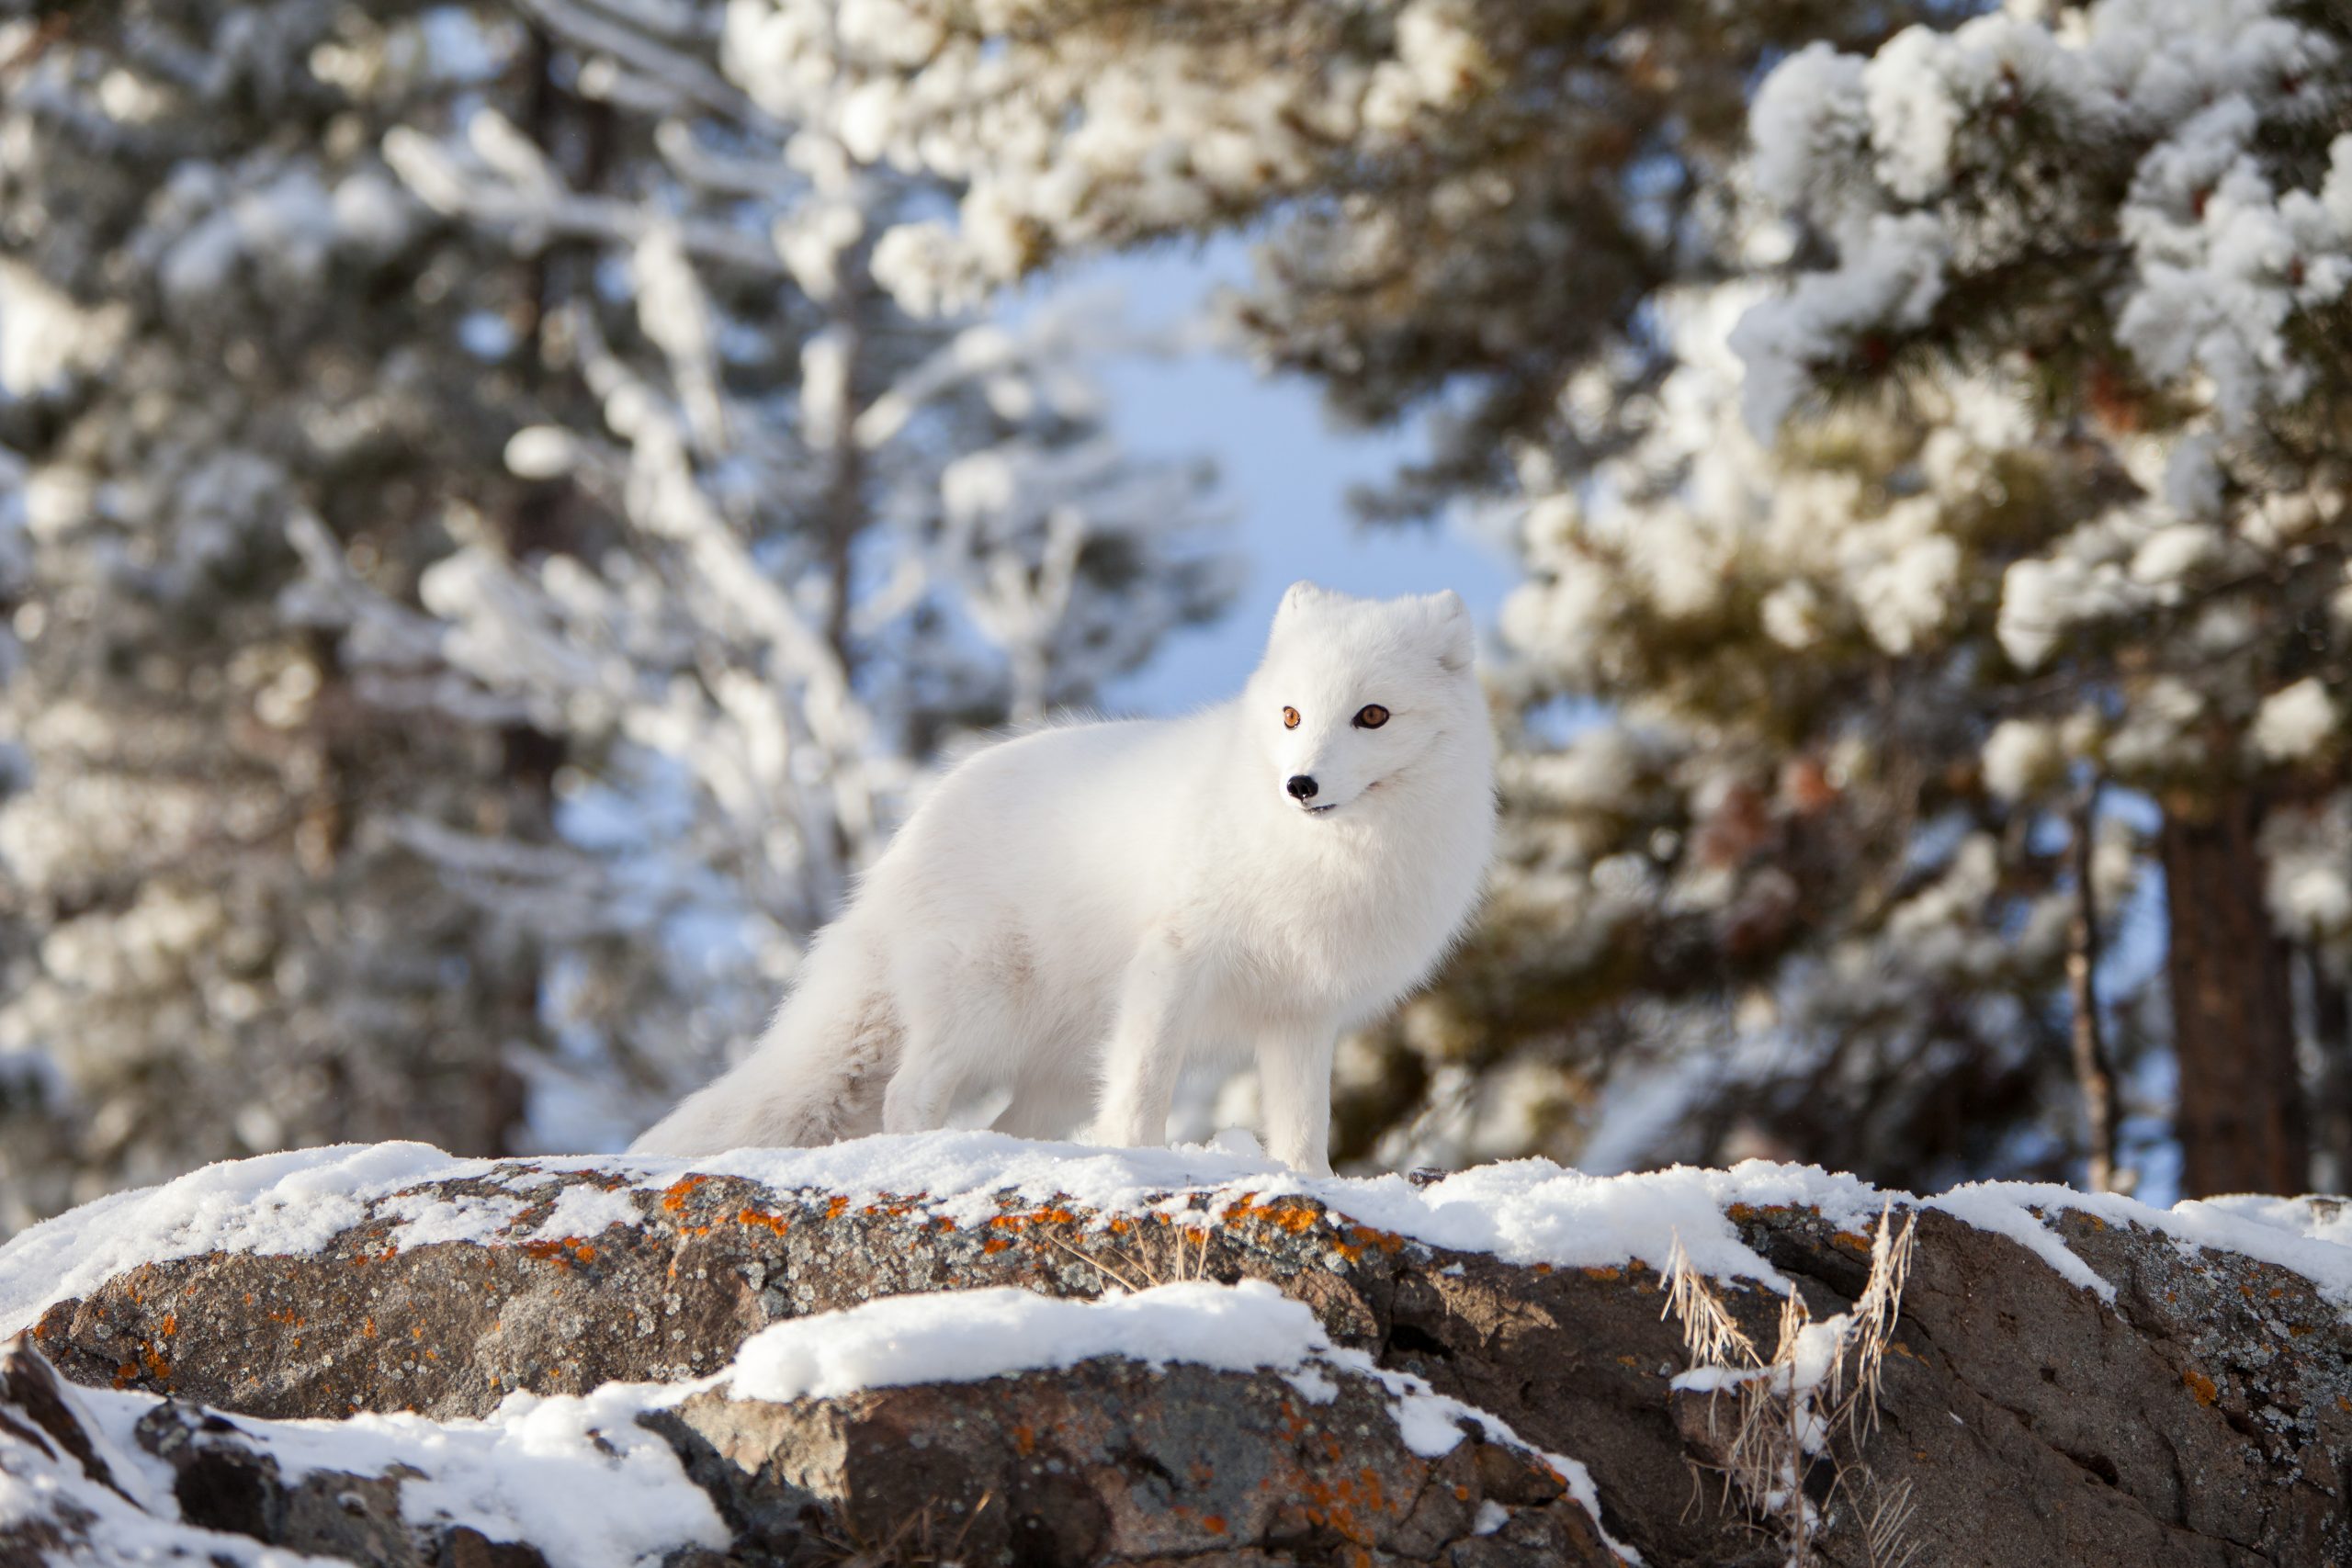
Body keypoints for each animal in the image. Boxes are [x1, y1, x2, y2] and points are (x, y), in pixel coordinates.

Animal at [630, 582, 1486, 1170]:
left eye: (1372, 715)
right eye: (1291, 716)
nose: (1300, 785)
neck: (1330, 857)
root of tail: (896, 856)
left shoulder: (1301, 1012)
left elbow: (1305, 1127)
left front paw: (1307, 1184)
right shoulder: (1175, 960)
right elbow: (1143, 1088)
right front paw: (1142, 1163)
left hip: (1061, 1067)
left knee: (1004, 1121)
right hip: (981, 1007)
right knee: (910, 1094)